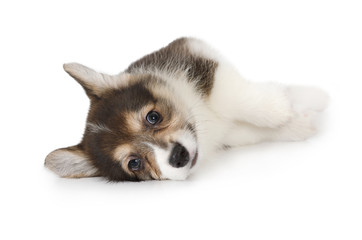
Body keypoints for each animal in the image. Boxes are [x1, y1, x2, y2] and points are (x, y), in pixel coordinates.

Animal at [44, 37, 328, 180]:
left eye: (153, 116)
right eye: (134, 163)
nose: (178, 156)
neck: (200, 116)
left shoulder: (196, 54)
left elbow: (232, 96)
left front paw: (277, 108)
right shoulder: (233, 134)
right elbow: (257, 130)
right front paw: (298, 124)